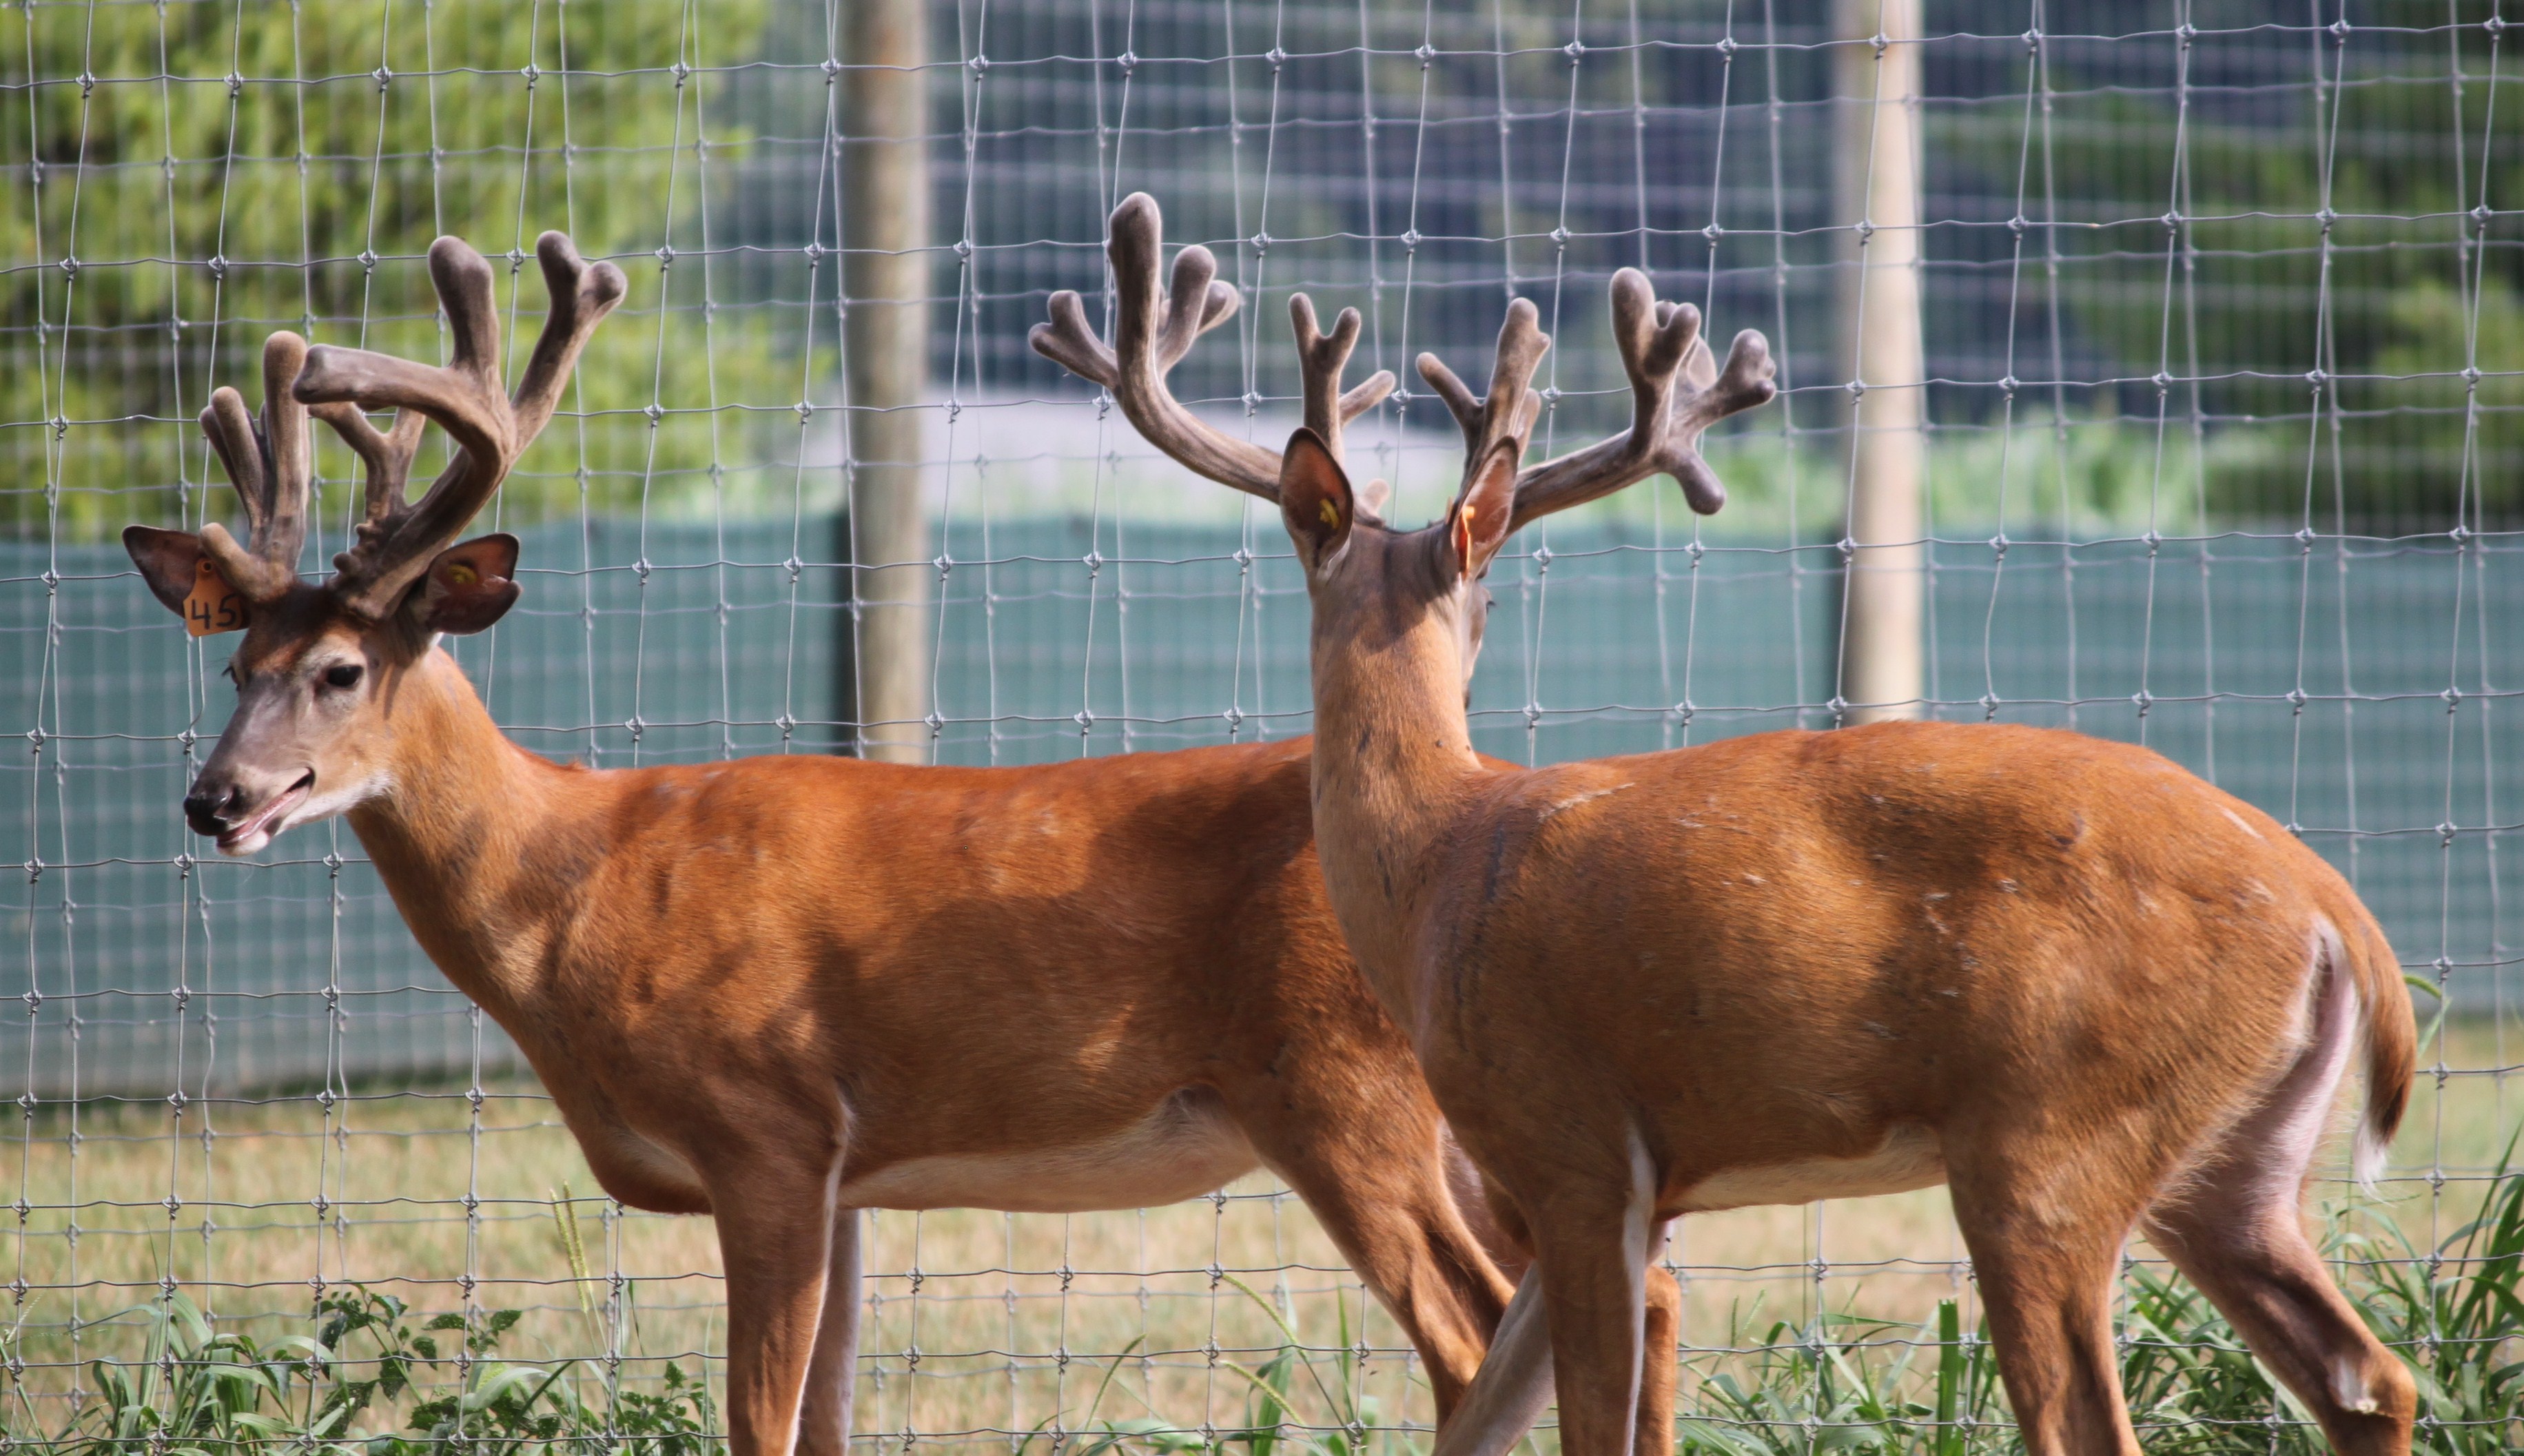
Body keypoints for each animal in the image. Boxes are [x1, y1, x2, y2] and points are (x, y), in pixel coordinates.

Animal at [120, 228, 1690, 1456]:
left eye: (341, 671)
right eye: (233, 663)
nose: (214, 800)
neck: (574, 891)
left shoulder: (764, 1120)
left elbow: (756, 1420)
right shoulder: (848, 1173)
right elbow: (821, 1417)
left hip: (1346, 1091)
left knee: (1474, 1336)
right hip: (1478, 1110)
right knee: (1635, 1297)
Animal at [1035, 206, 2422, 1454]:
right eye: (1485, 600)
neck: (1431, 866)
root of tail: (2333, 911)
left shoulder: (1569, 1140)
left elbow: (1589, 1422)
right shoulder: (1607, 1181)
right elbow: (1481, 1424)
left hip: (2051, 1134)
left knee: (2090, 1412)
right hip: (2232, 1159)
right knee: (2368, 1378)